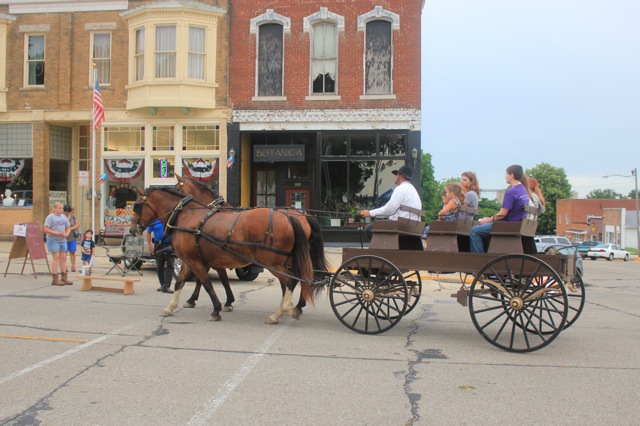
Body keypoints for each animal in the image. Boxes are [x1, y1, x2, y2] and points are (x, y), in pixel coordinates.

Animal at [131, 186, 321, 324]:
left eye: (137, 206)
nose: (132, 229)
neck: (186, 216)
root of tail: (290, 218)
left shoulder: (194, 260)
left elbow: (206, 284)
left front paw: (216, 308)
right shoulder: (194, 259)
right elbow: (181, 282)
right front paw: (171, 307)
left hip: (272, 262)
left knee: (291, 281)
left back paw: (281, 312)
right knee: (293, 282)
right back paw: (288, 308)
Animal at [174, 174, 329, 316]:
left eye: (177, 188)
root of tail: (305, 216)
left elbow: (207, 278)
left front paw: (194, 300)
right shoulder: (212, 256)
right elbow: (217, 278)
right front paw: (226, 301)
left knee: (296, 278)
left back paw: (294, 305)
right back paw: (293, 305)